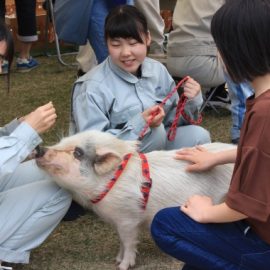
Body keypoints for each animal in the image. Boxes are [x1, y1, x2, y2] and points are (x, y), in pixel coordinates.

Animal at [35, 130, 234, 268]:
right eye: (61, 142)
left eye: (77, 153)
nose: (38, 149)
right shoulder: (118, 219)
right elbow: (121, 241)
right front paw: (116, 259)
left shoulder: (128, 218)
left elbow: (128, 241)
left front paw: (123, 266)